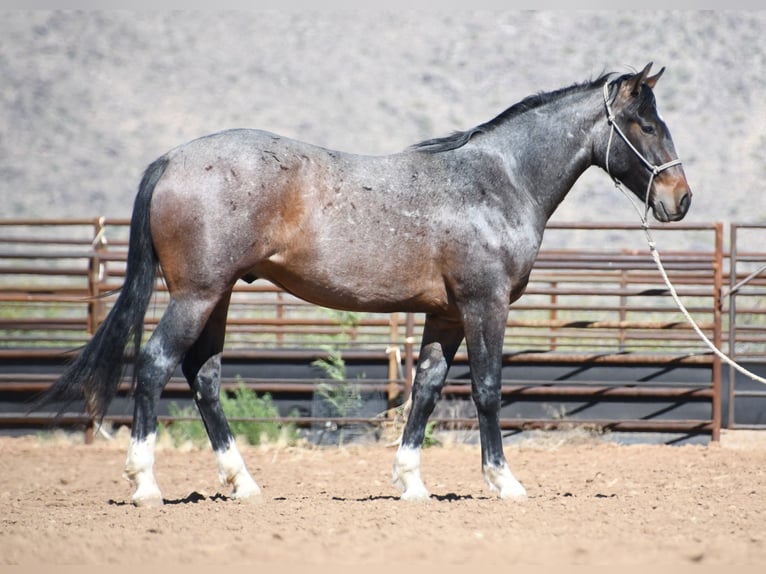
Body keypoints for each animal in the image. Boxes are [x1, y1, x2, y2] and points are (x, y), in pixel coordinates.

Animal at [38, 62, 691, 506]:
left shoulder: (445, 314)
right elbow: (487, 389)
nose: (680, 199)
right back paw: (145, 484)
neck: (495, 181)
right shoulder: (485, 306)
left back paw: (243, 483)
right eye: (644, 124)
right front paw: (504, 482)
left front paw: (411, 484)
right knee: (155, 364)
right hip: (196, 295)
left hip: (215, 297)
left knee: (205, 378)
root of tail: (171, 160)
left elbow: (426, 389)